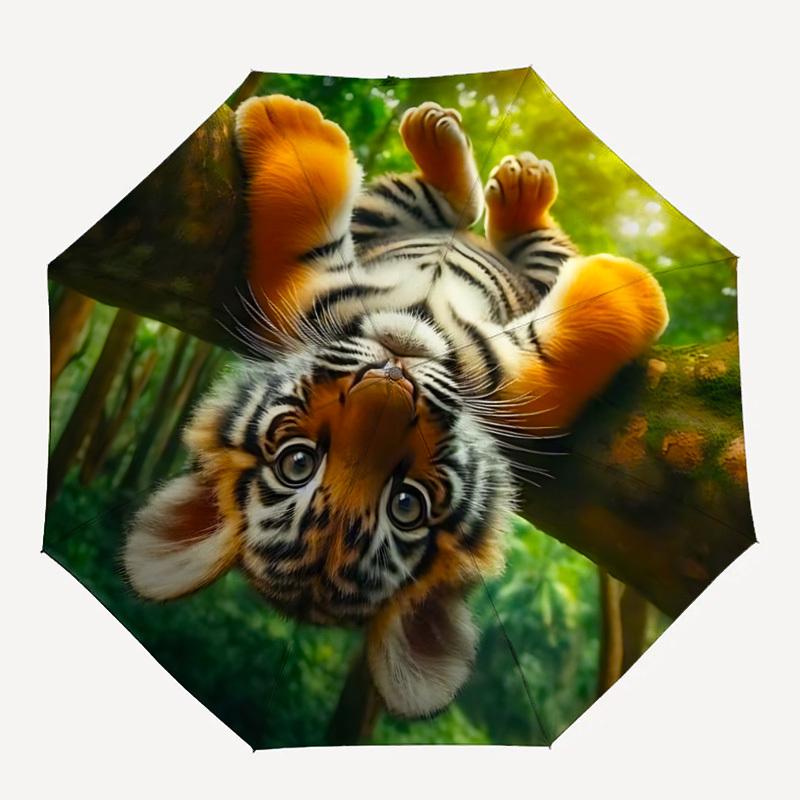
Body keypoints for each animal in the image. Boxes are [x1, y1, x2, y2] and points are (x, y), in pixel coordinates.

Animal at [124, 95, 668, 719]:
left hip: (436, 234)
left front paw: (634, 286)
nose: (390, 380)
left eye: (406, 504)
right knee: (477, 218)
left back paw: (494, 170)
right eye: (298, 464)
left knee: (482, 218)